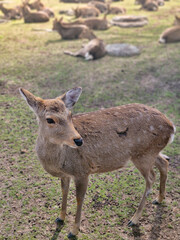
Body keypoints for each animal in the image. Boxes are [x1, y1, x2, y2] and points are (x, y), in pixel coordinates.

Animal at [19, 87, 175, 239]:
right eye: (50, 119)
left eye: (70, 115)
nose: (79, 140)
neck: (59, 160)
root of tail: (172, 127)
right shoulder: (66, 174)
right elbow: (64, 191)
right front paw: (60, 218)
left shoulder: (82, 171)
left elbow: (79, 198)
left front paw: (73, 231)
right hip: (150, 152)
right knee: (164, 162)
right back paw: (159, 199)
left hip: (143, 155)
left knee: (151, 178)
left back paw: (134, 219)